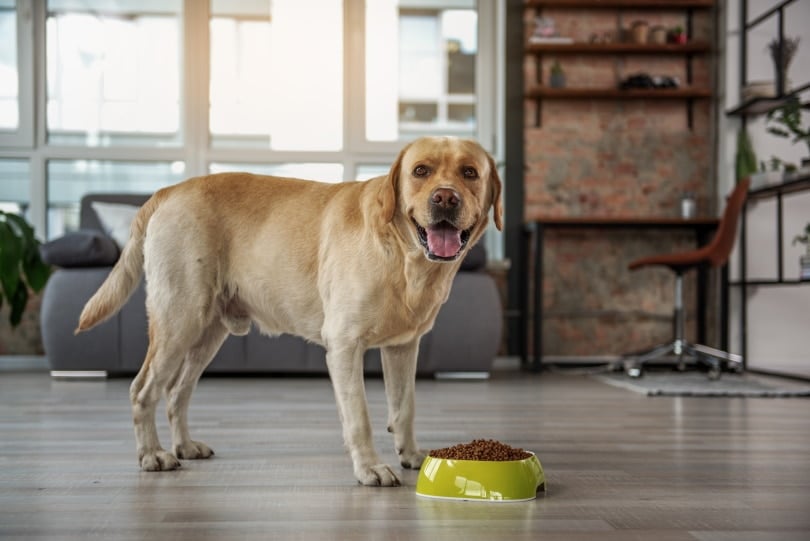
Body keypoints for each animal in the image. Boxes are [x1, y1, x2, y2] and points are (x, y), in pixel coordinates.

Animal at [79, 135, 502, 486]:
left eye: (469, 173)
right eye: (420, 171)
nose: (445, 198)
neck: (403, 254)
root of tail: (169, 190)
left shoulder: (402, 347)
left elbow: (404, 407)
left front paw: (411, 455)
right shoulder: (344, 346)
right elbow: (359, 417)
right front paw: (369, 467)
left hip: (207, 333)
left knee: (176, 392)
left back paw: (184, 446)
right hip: (179, 320)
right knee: (143, 389)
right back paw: (152, 454)